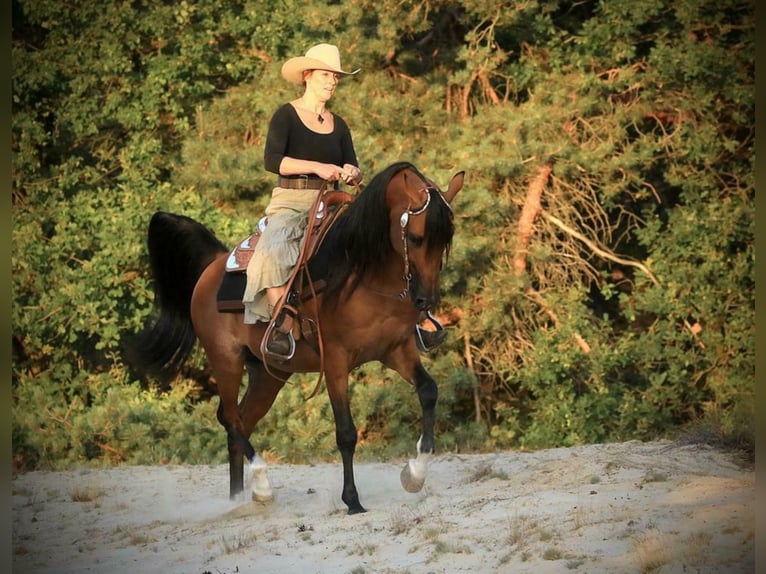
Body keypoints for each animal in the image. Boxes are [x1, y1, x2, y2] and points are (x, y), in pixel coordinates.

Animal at [129, 162, 464, 516]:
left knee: (242, 421)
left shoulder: (397, 350)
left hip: (269, 373)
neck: (362, 273)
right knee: (230, 418)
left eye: (446, 240)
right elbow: (346, 433)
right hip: (226, 359)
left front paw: (414, 475)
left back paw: (239, 498)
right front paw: (352, 500)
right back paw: (262, 485)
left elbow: (428, 392)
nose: (426, 300)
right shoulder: (335, 361)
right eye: (415, 237)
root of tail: (214, 266)